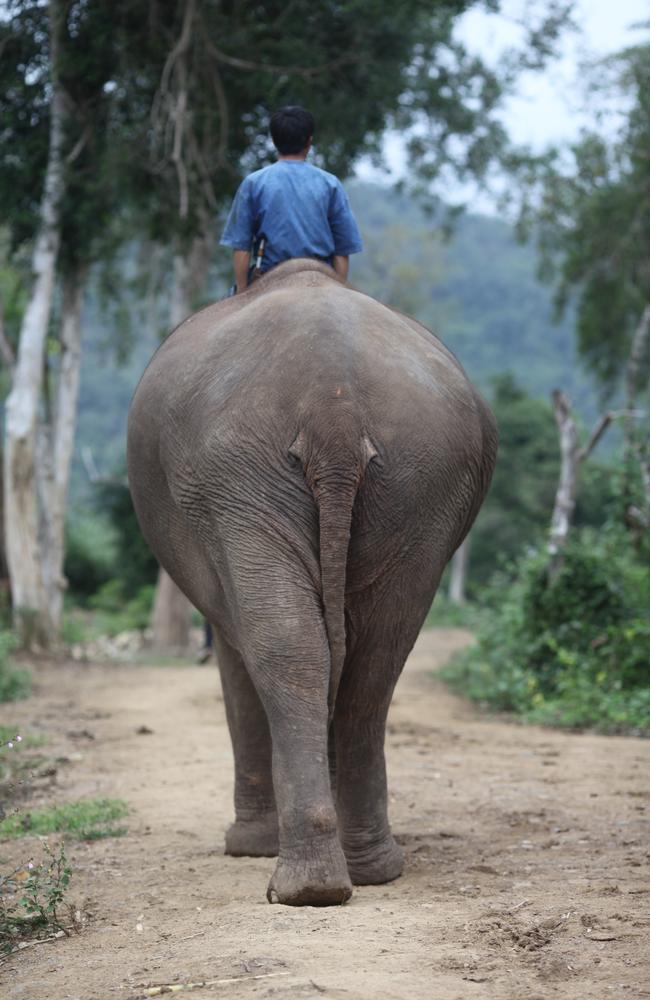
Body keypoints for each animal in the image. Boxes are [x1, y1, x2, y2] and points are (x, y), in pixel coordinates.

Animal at [129, 256, 498, 908]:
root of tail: (334, 407)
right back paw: (363, 871)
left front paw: (246, 846)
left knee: (288, 647)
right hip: (421, 480)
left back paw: (303, 884)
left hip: (236, 476)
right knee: (377, 654)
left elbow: (236, 651)